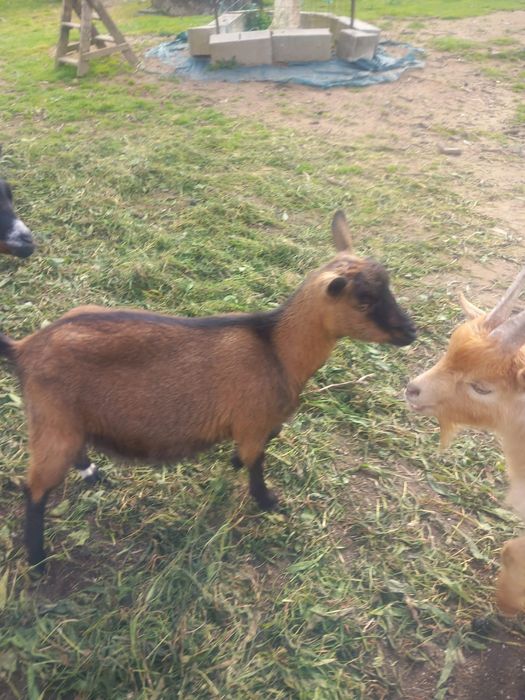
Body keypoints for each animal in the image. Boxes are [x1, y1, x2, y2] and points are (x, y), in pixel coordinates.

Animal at [0, 211, 416, 572]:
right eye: (364, 301)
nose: (411, 332)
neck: (276, 349)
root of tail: (25, 349)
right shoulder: (253, 422)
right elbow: (256, 463)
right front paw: (268, 502)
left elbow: (253, 453)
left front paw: (235, 466)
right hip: (52, 423)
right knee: (34, 489)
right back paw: (37, 562)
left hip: (67, 421)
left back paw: (90, 473)